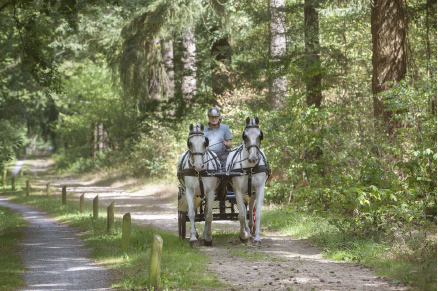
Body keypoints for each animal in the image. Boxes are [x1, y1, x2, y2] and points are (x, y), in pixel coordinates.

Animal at [226, 117, 270, 248]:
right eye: (244, 136)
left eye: (260, 135)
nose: (253, 158)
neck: (249, 168)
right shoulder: (238, 191)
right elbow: (241, 215)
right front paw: (243, 236)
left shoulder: (260, 189)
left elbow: (257, 213)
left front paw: (257, 238)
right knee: (243, 213)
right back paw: (247, 233)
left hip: (252, 193)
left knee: (250, 210)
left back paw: (251, 231)